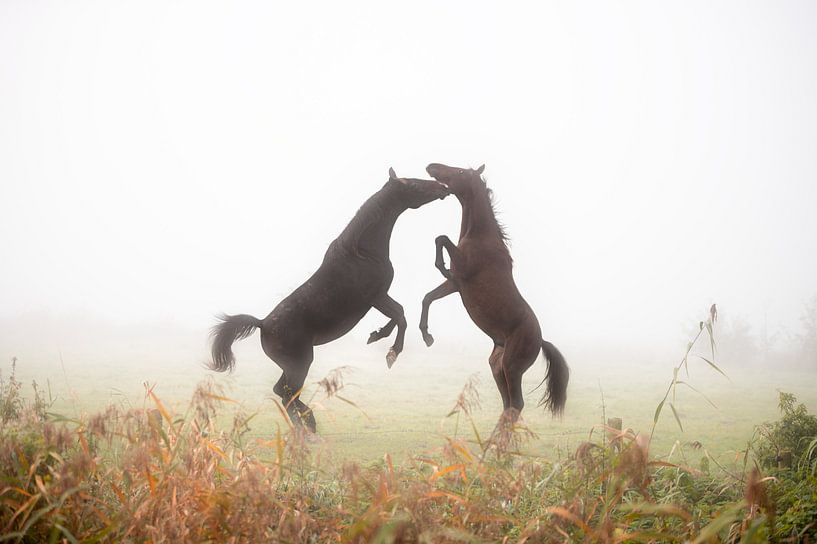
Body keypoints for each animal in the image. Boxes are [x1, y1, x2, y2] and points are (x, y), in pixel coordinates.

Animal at [210, 168, 449, 432]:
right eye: (414, 185)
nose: (443, 187)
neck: (363, 253)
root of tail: (262, 323)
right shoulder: (375, 297)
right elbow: (400, 315)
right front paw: (392, 353)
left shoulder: (380, 296)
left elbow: (398, 313)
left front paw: (376, 335)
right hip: (300, 364)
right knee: (287, 393)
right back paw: (308, 427)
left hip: (293, 366)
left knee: (284, 392)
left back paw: (306, 426)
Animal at [420, 163, 569, 425]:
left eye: (460, 172)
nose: (432, 166)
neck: (480, 236)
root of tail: (540, 340)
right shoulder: (456, 284)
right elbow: (428, 297)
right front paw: (427, 336)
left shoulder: (464, 270)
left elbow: (442, 238)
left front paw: (440, 264)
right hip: (497, 367)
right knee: (508, 405)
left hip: (512, 367)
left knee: (516, 404)